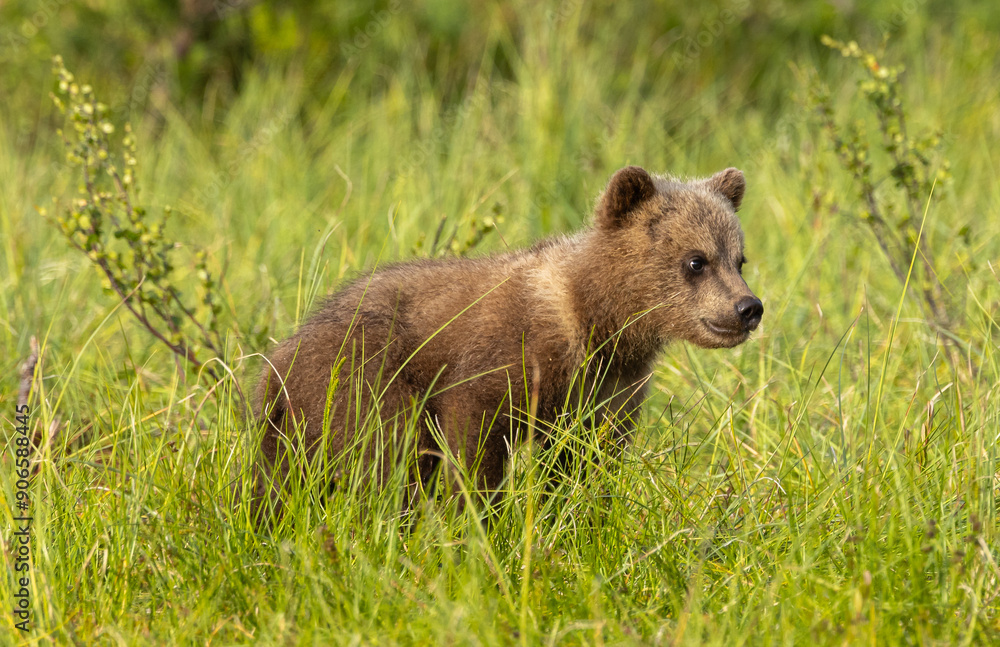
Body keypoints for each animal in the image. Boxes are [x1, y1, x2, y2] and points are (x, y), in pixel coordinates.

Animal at [251, 165, 762, 516]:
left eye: (739, 258)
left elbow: (585, 462)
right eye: (696, 260)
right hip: (358, 379)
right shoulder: (502, 358)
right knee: (384, 459)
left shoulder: (606, 390)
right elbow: (473, 444)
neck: (595, 322)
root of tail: (277, 361)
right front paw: (476, 519)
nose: (748, 308)